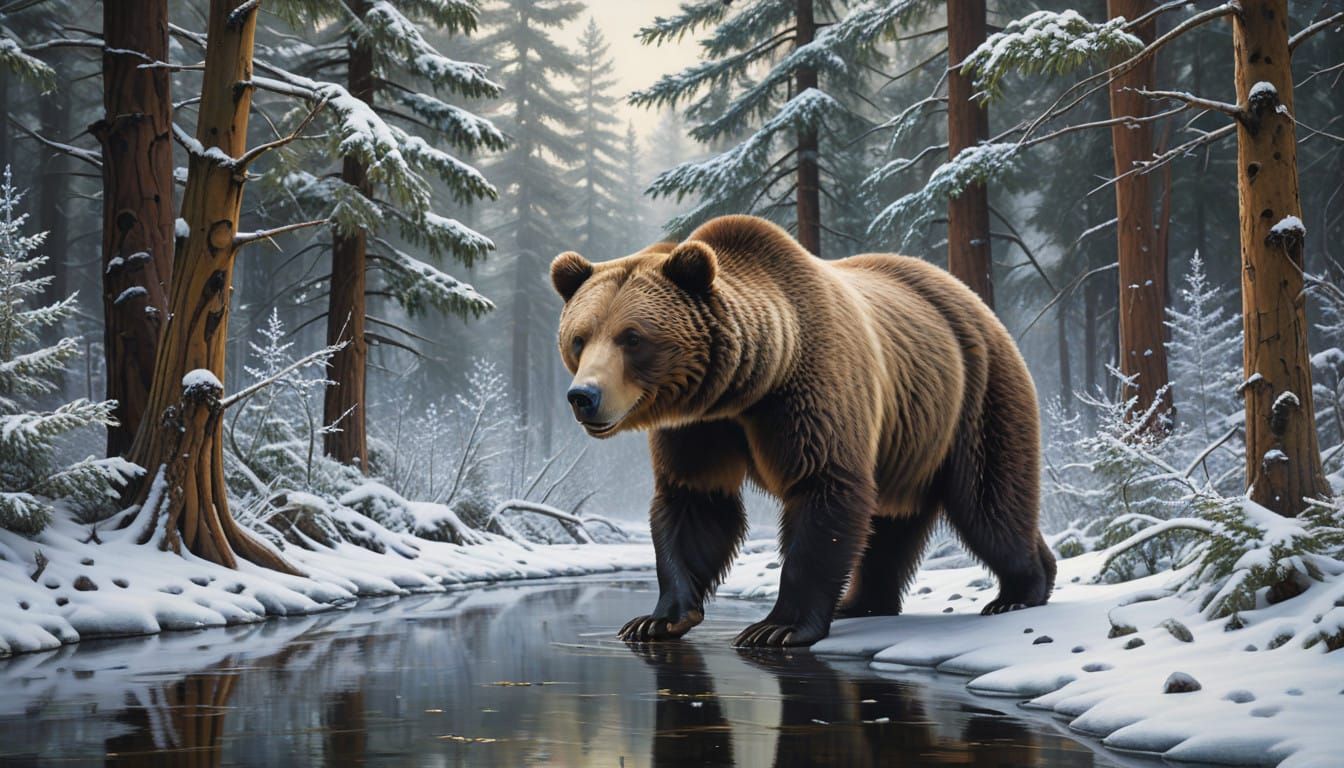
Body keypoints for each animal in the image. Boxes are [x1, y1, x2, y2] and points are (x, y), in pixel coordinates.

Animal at [550, 215, 1055, 648]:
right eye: (579, 338)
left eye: (632, 338)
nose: (583, 396)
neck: (748, 385)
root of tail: (975, 301)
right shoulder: (699, 428)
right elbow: (695, 502)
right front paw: (657, 618)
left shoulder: (809, 395)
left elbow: (823, 489)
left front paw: (777, 627)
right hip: (909, 436)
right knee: (892, 525)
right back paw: (864, 603)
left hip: (975, 396)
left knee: (989, 502)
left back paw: (1020, 590)